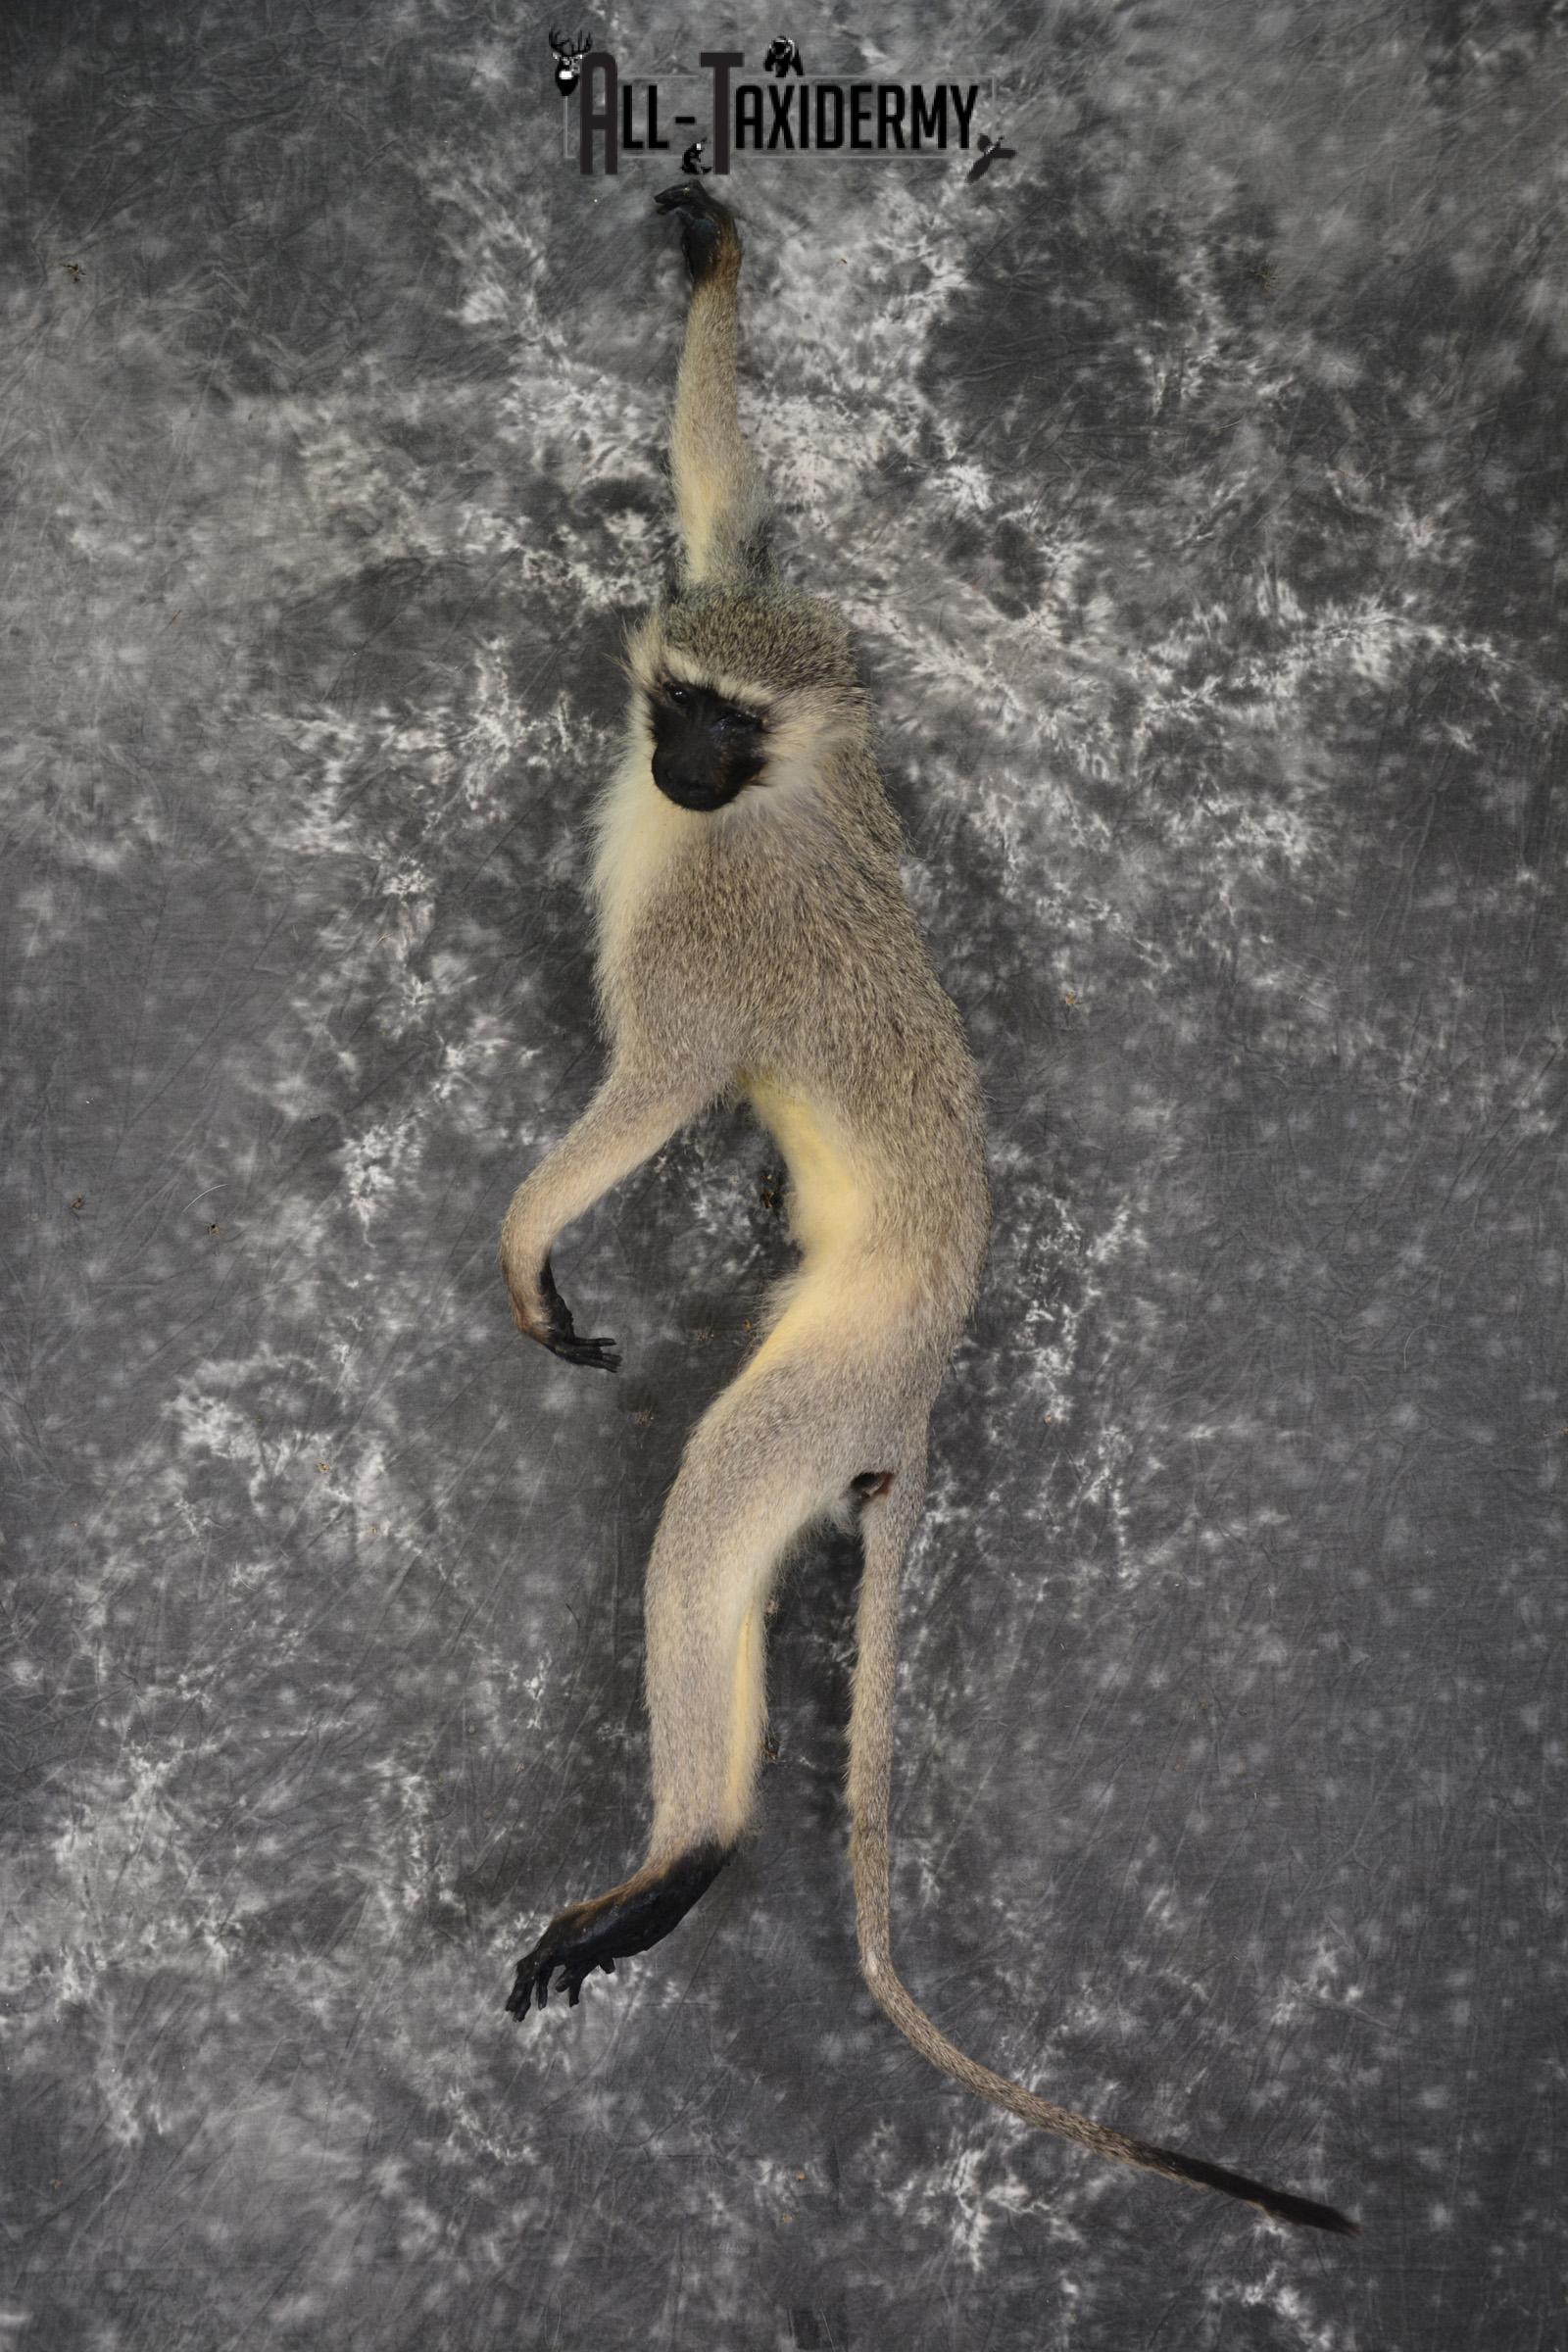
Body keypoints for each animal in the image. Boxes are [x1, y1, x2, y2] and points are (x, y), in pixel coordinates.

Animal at [497, 180, 1358, 2241]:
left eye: (721, 732)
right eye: (680, 700)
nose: (675, 762)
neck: (764, 801)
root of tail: (929, 1359)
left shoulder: (712, 942)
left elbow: (653, 1090)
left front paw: (523, 1242)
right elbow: (723, 499)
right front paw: (713, 266)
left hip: (830, 1382)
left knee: (709, 1524)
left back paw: (689, 1855)